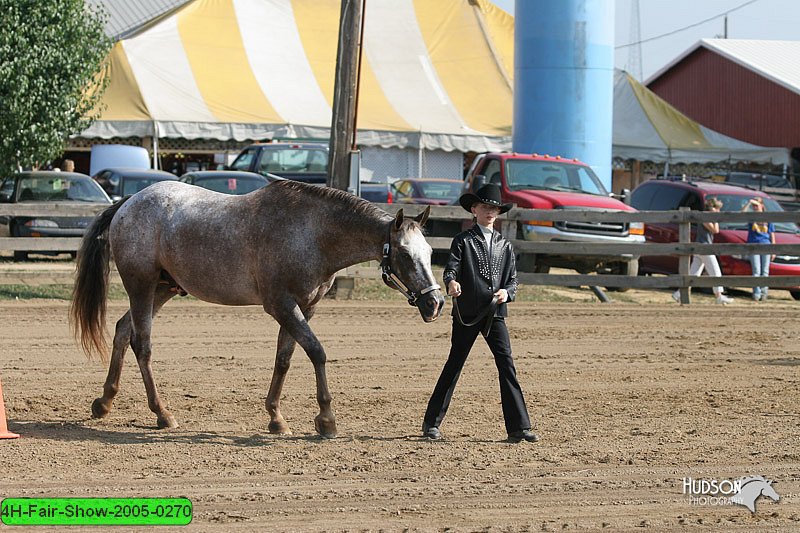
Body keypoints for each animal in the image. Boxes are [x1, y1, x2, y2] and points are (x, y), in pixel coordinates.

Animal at [68, 179, 444, 436]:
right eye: (405, 254)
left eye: (429, 252)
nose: (436, 302)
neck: (311, 232)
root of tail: (129, 202)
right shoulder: (281, 305)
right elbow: (317, 352)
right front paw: (326, 419)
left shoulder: (303, 308)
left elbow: (284, 359)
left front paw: (276, 418)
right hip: (142, 287)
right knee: (142, 345)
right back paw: (162, 413)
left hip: (163, 289)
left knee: (122, 330)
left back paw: (104, 402)